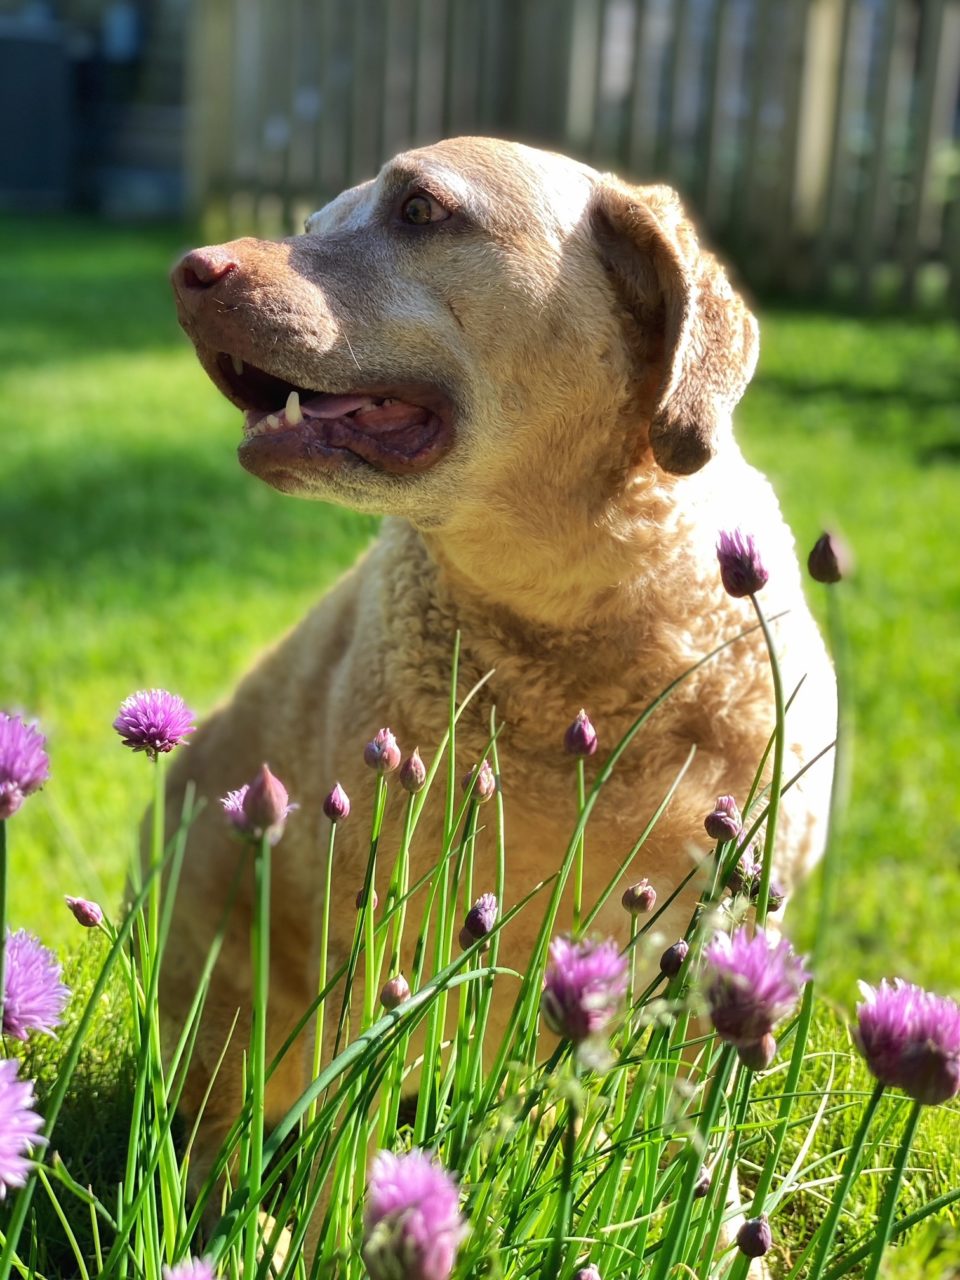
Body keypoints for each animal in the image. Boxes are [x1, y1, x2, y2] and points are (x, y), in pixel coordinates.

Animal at [163, 135, 834, 1203]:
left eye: (421, 210)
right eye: (313, 224)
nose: (189, 272)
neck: (582, 631)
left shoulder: (728, 941)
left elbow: (693, 1128)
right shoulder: (384, 943)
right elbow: (347, 1147)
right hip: (224, 985)